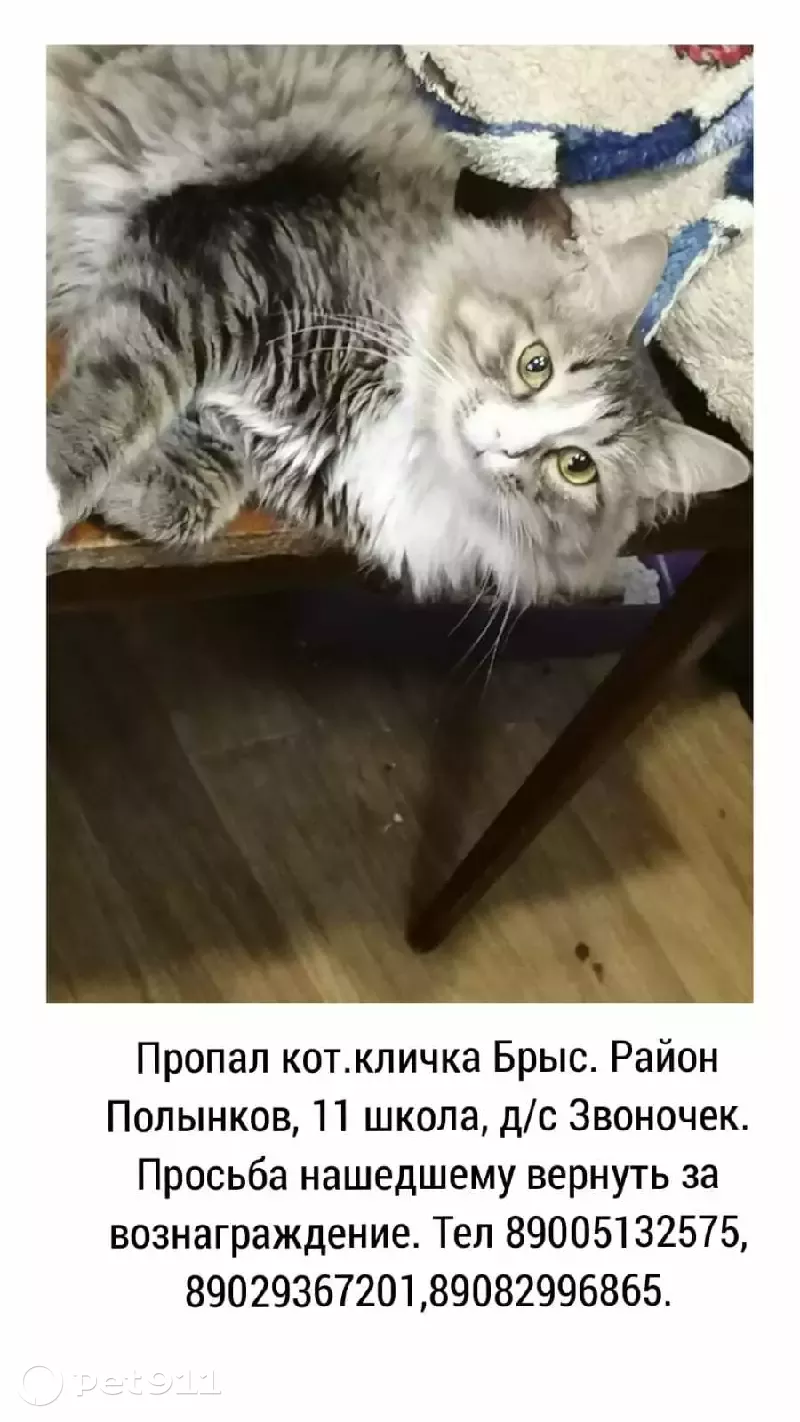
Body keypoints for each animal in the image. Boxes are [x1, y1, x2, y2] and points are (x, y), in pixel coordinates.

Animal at [46, 45, 750, 604]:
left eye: (576, 466)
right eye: (536, 364)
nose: (500, 437)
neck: (405, 428)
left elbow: (196, 490)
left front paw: (133, 493)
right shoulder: (224, 264)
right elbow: (110, 413)